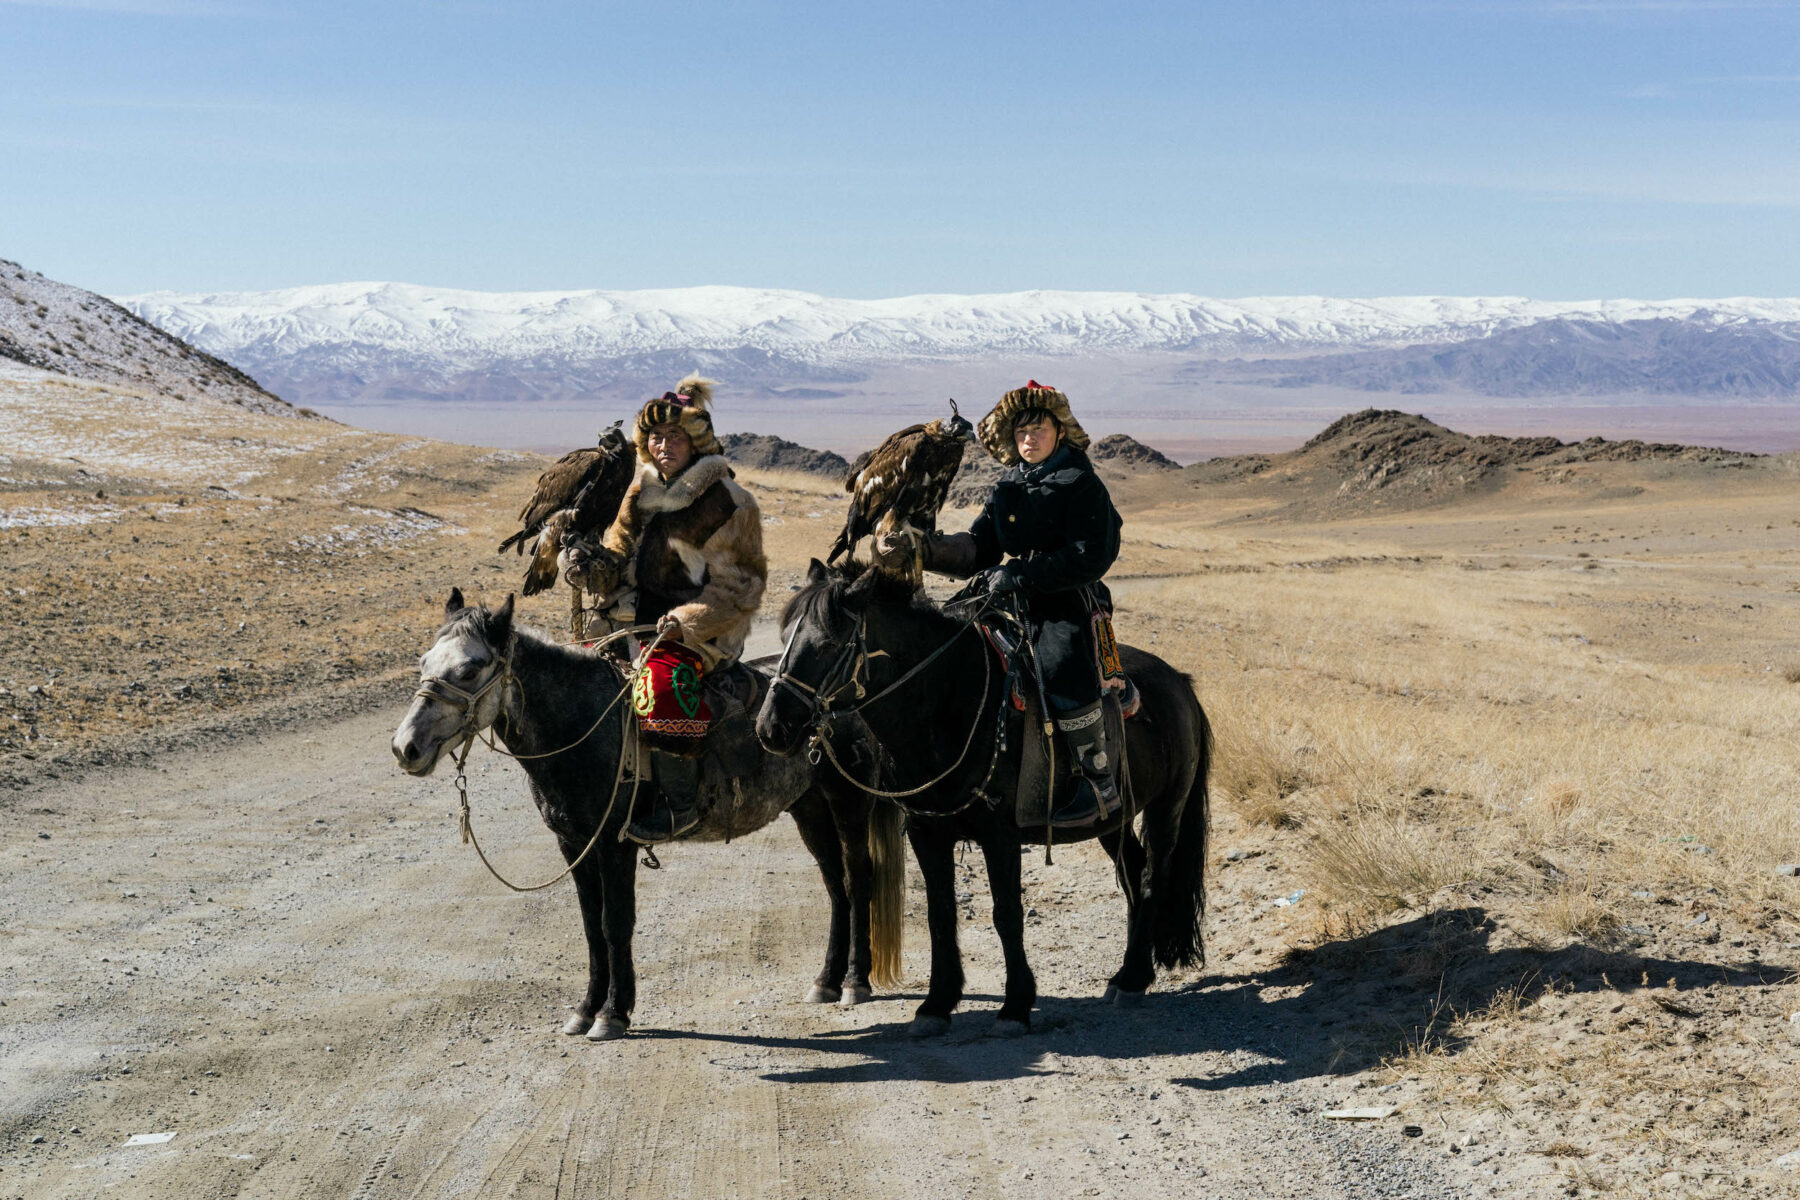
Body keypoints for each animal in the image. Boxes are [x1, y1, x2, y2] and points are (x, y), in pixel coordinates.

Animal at [394, 590, 900, 1043]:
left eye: (469, 669)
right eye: (423, 663)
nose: (405, 748)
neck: (583, 724)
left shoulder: (614, 843)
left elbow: (613, 923)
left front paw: (612, 1014)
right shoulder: (574, 845)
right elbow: (590, 927)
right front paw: (586, 1009)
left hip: (849, 799)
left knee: (858, 879)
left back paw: (855, 982)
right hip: (809, 806)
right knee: (835, 885)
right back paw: (826, 981)